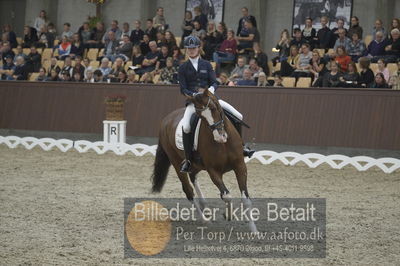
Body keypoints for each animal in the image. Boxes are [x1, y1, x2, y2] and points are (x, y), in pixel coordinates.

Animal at [150, 88, 256, 232]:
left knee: (193, 177)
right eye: (200, 116)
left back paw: (203, 204)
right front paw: (229, 215)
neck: (223, 145)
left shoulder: (240, 166)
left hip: (195, 165)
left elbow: (245, 199)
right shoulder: (213, 171)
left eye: (215, 108)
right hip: (176, 163)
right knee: (188, 191)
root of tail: (166, 120)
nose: (220, 137)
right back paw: (205, 220)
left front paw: (254, 231)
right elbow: (227, 196)